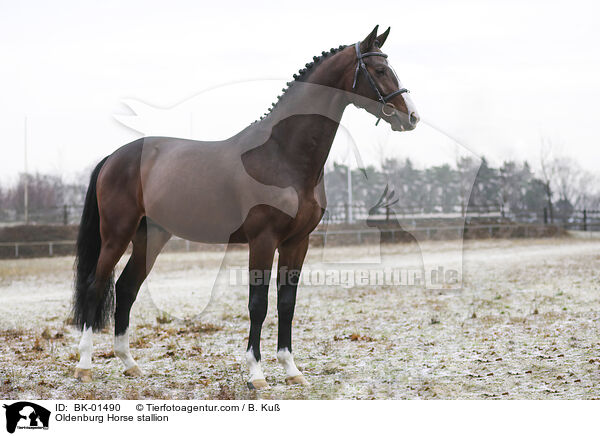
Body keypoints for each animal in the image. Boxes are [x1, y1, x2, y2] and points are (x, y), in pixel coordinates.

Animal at [71, 26, 418, 388]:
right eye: (380, 70)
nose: (411, 117)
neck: (282, 155)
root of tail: (114, 156)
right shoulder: (262, 241)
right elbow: (258, 304)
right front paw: (256, 373)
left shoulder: (297, 242)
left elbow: (287, 303)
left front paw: (291, 369)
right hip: (116, 235)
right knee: (95, 287)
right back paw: (84, 366)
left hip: (150, 237)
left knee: (126, 289)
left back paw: (129, 363)